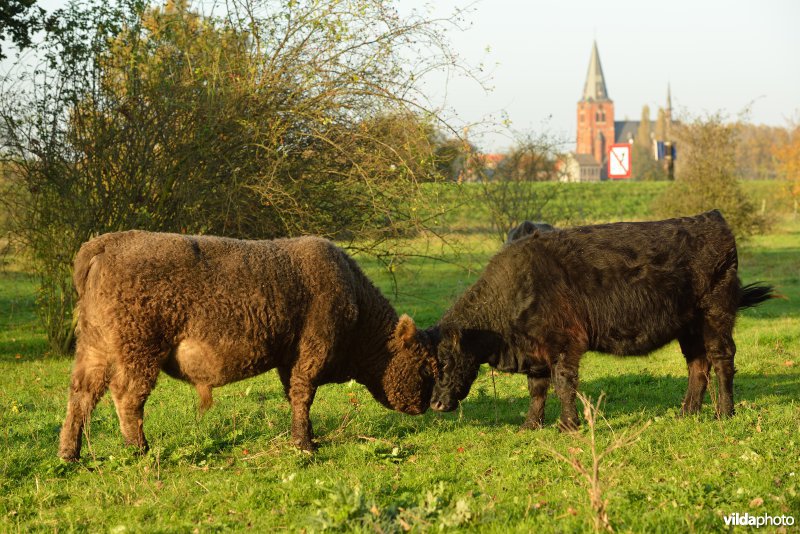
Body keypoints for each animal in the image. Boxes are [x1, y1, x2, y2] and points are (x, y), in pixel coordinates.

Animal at [432, 210, 776, 432]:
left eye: (445, 361)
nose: (434, 404)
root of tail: (713, 218)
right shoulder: (537, 350)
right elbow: (537, 390)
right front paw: (530, 425)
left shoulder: (563, 344)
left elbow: (564, 385)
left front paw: (568, 426)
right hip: (689, 327)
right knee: (697, 366)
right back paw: (686, 413)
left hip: (715, 317)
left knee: (722, 360)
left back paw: (724, 413)